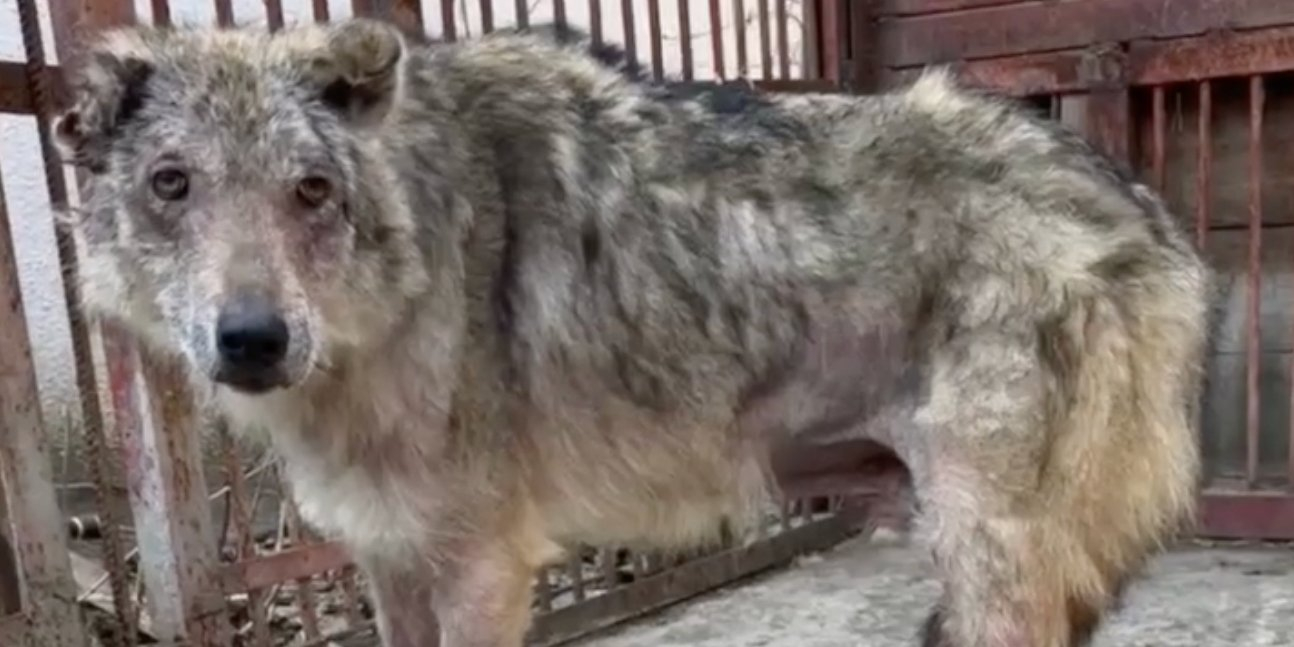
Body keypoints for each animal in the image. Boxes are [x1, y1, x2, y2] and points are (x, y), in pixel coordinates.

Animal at [55, 16, 1211, 647]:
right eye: (172, 184)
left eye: (310, 190)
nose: (251, 338)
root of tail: (1148, 215)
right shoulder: (391, 560)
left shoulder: (484, 563)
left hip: (990, 553)